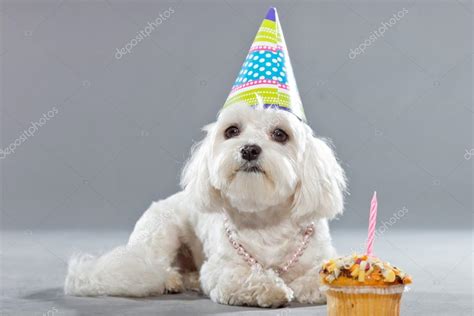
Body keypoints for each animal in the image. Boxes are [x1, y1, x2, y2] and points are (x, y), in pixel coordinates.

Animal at [64, 102, 344, 308]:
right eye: (232, 131)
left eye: (280, 134)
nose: (249, 149)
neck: (265, 220)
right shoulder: (219, 269)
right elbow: (243, 277)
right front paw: (272, 287)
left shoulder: (321, 255)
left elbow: (320, 274)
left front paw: (305, 284)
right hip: (159, 233)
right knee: (148, 267)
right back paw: (170, 279)